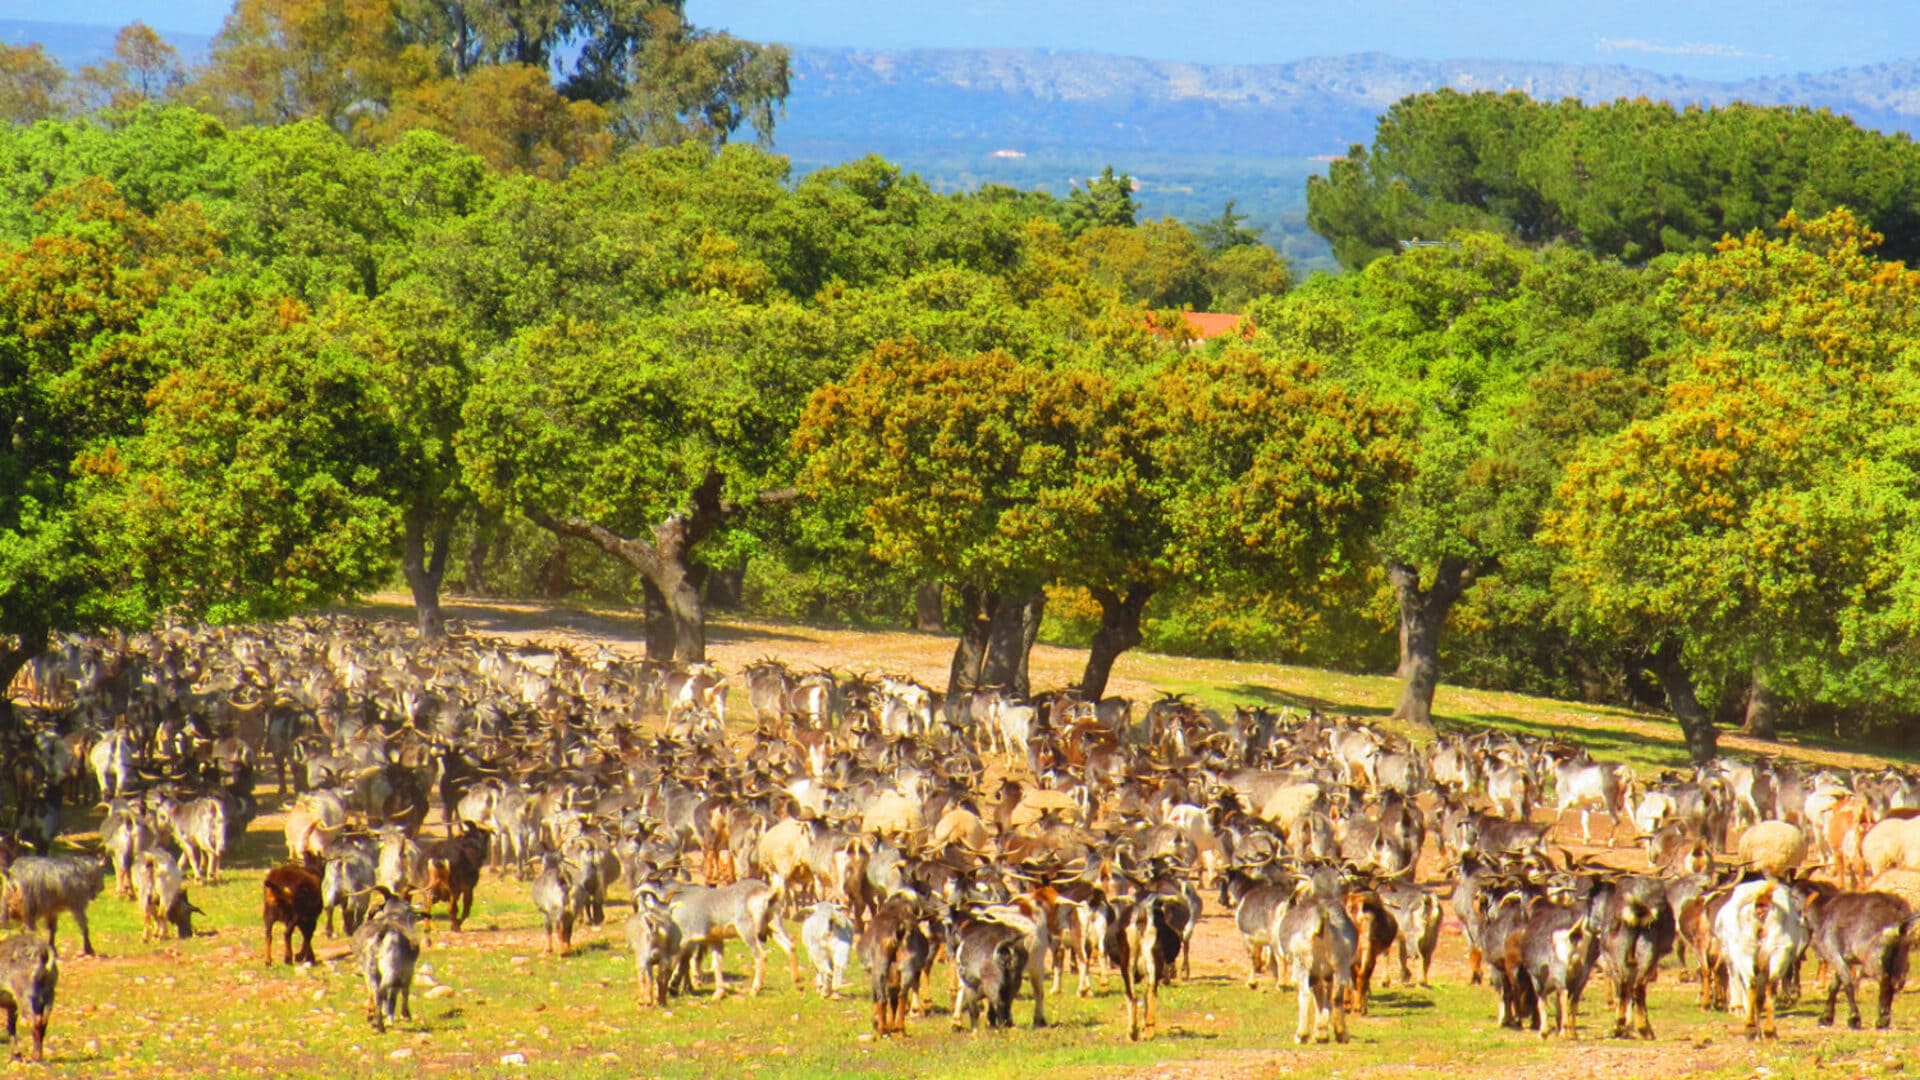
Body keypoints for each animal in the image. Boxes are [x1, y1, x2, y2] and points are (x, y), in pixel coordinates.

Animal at [0, 933, 56, 1062]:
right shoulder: (11, 1005)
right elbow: (11, 1027)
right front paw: (16, 1055)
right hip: (49, 994)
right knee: (43, 1021)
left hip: (26, 996)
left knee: (35, 1021)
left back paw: (35, 1056)